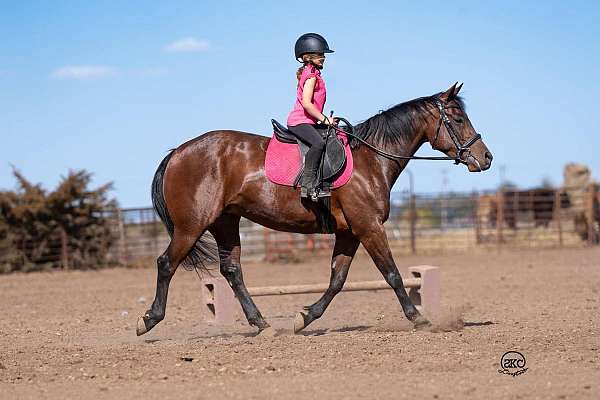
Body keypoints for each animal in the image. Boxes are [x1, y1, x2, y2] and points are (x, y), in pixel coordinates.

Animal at [136, 83, 492, 336]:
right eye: (458, 119)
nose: (486, 158)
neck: (371, 158)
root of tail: (178, 152)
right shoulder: (369, 227)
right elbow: (391, 273)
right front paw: (419, 319)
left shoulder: (350, 232)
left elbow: (337, 279)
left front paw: (305, 317)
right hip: (192, 225)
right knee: (166, 263)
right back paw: (149, 320)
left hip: (225, 222)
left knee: (232, 271)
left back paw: (261, 324)